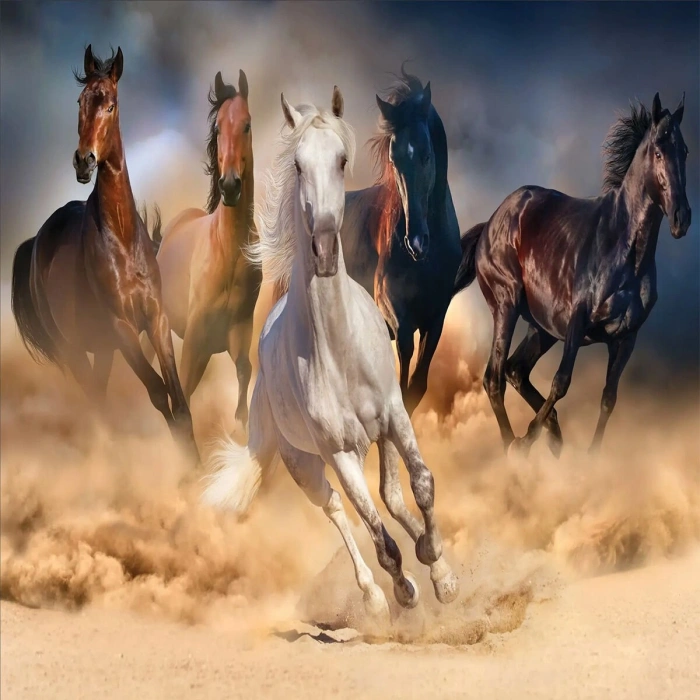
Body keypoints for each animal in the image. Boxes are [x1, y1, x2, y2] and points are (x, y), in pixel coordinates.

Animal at [10, 46, 197, 458]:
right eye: (80, 101)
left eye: (110, 105)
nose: (84, 161)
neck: (123, 240)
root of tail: (36, 243)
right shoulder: (122, 328)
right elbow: (158, 394)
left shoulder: (156, 320)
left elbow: (178, 400)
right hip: (73, 349)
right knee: (96, 402)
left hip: (103, 351)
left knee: (99, 394)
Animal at [144, 70, 260, 427]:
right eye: (218, 128)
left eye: (247, 125)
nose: (230, 186)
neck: (228, 252)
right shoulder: (195, 338)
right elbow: (182, 392)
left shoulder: (238, 331)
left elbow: (244, 373)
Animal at [273, 68, 462, 417]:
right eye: (394, 159)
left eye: (427, 155)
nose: (416, 242)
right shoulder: (397, 316)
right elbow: (402, 386)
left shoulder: (436, 319)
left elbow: (417, 385)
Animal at [454, 93, 691, 456]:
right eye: (658, 152)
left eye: (685, 151)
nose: (682, 218)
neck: (624, 252)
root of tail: (491, 223)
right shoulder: (578, 324)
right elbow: (561, 383)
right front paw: (527, 440)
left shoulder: (626, 338)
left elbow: (609, 398)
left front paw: (589, 458)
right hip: (507, 306)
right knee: (494, 378)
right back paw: (513, 447)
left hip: (542, 328)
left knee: (515, 370)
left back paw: (553, 434)